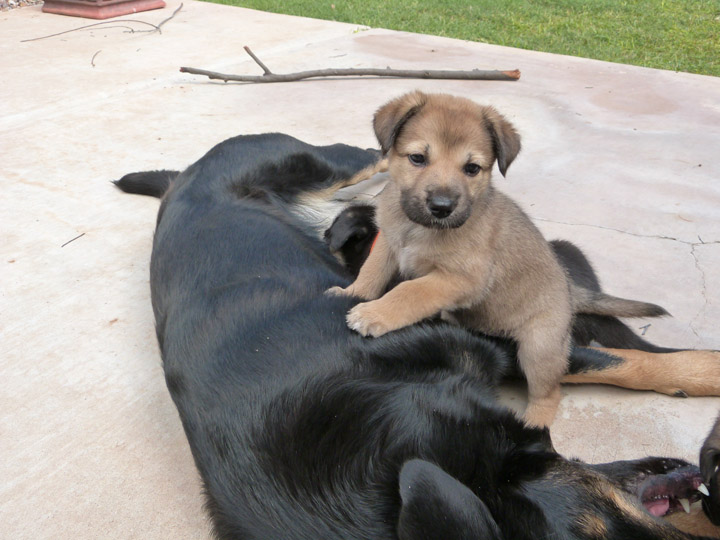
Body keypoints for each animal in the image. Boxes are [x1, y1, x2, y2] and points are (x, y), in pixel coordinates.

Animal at [330, 92, 668, 426]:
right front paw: (352, 293)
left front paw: (375, 313)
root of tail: (570, 292)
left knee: (550, 392)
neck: (417, 229)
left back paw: (533, 422)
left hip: (538, 347)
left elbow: (411, 291)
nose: (442, 207)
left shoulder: (462, 278)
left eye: (471, 168)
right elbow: (371, 272)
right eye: (417, 158)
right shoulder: (388, 243)